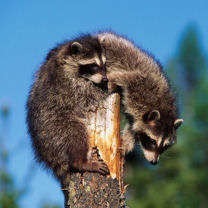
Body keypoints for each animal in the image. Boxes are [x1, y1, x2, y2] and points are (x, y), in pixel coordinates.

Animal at [26, 34, 110, 187]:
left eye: (104, 65)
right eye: (93, 66)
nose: (105, 79)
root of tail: (47, 154)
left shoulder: (54, 51)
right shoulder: (69, 85)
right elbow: (90, 95)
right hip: (56, 127)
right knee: (75, 133)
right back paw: (80, 162)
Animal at [98, 32, 184, 164]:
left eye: (165, 146)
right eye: (153, 141)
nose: (154, 162)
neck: (163, 107)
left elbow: (132, 126)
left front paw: (125, 145)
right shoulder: (140, 85)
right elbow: (123, 77)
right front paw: (110, 82)